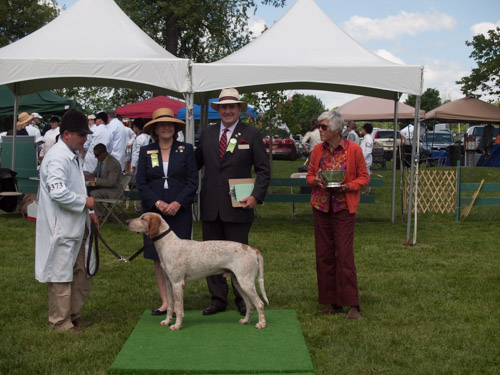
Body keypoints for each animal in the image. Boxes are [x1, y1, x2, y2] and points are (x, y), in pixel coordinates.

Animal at [129, 214, 270, 332]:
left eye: (142, 218)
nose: (127, 222)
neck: (168, 244)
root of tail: (252, 249)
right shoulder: (169, 283)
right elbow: (170, 306)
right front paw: (167, 321)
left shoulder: (177, 284)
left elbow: (178, 308)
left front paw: (177, 325)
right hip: (238, 283)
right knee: (250, 304)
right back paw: (245, 321)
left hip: (245, 283)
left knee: (260, 304)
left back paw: (261, 324)